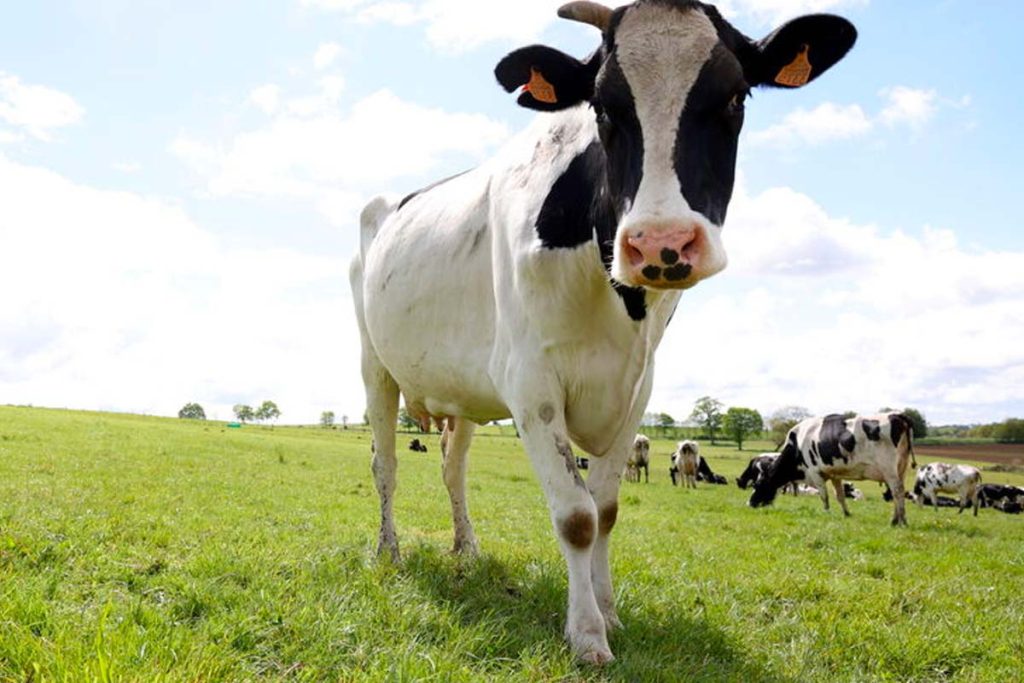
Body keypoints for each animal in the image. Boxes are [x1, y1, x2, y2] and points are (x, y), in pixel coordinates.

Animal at [350, 0, 856, 663]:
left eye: (735, 97)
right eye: (603, 106)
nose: (661, 242)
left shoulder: (638, 389)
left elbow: (608, 509)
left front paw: (609, 612)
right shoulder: (530, 384)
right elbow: (576, 516)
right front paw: (587, 634)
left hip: (462, 390)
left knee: (451, 467)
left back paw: (467, 548)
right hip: (375, 366)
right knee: (385, 464)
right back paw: (388, 552)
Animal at [748, 413, 916, 526]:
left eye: (758, 485)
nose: (749, 503)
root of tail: (897, 414)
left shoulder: (815, 472)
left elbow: (824, 496)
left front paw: (826, 513)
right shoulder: (836, 475)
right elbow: (839, 496)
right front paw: (847, 514)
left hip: (889, 469)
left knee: (897, 491)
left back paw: (901, 521)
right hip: (901, 468)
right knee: (897, 493)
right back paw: (895, 519)